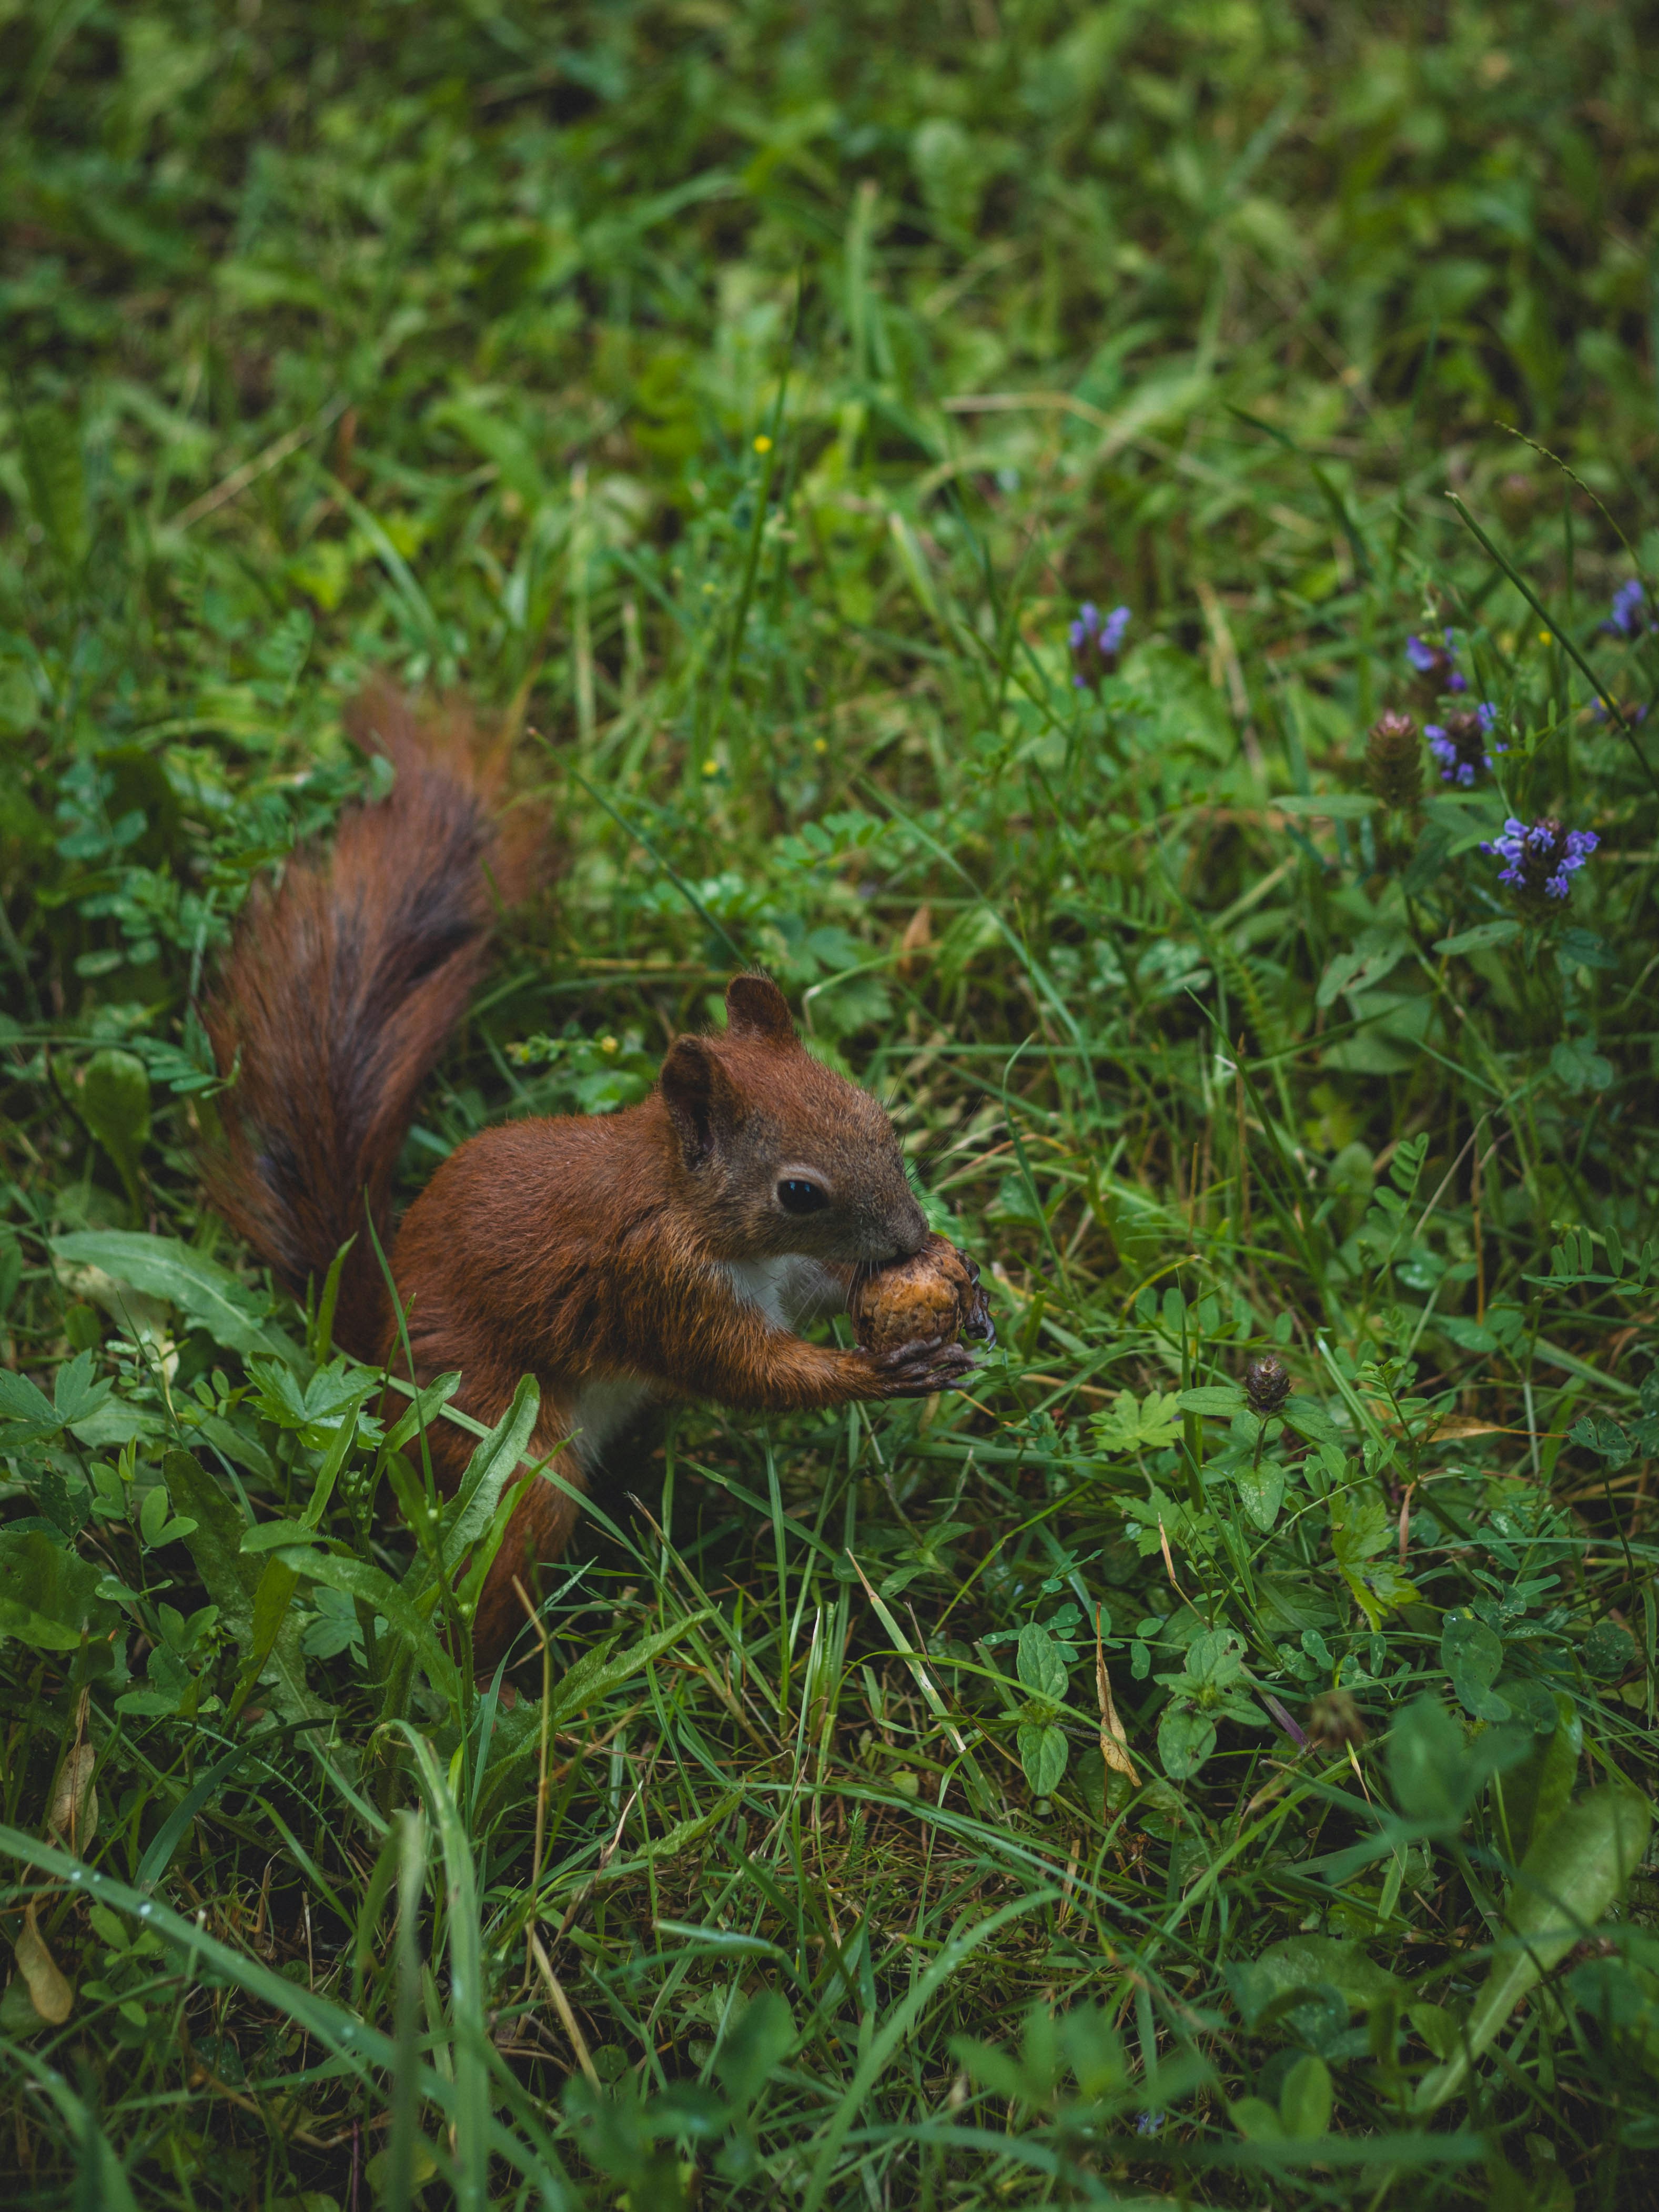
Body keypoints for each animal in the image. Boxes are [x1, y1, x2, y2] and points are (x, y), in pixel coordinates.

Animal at [204, 686, 979, 1666]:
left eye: (875, 1114)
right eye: (799, 1193)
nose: (911, 1236)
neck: (686, 1203)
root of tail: (367, 1338)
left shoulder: (772, 1273)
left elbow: (819, 1291)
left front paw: (958, 1280)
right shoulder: (657, 1282)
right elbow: (750, 1375)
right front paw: (885, 1372)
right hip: (497, 1436)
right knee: (497, 1557)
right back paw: (510, 1674)